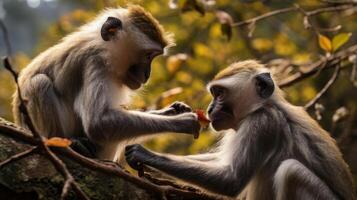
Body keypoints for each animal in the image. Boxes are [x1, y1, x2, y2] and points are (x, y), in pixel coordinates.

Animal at [12, 4, 200, 161]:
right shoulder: (95, 62)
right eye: (148, 56)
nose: (147, 75)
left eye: (153, 57)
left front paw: (172, 110)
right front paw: (183, 122)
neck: (103, 47)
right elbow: (98, 123)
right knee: (39, 83)